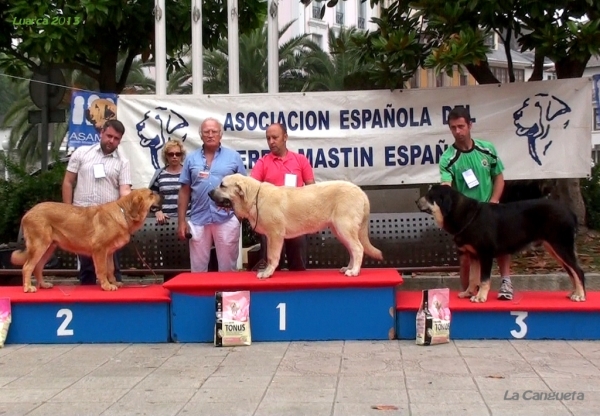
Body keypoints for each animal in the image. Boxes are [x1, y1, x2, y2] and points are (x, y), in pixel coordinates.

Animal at [209, 174, 382, 278]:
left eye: (222, 186)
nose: (209, 192)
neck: (254, 198)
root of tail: (360, 191)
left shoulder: (275, 234)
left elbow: (272, 256)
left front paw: (267, 272)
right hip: (340, 230)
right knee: (353, 250)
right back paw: (348, 268)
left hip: (344, 227)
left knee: (358, 248)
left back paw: (354, 271)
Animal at [414, 185, 584, 302]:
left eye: (429, 196)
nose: (416, 201)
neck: (467, 216)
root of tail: (570, 212)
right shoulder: (474, 255)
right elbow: (473, 278)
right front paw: (468, 293)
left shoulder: (485, 254)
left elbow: (483, 280)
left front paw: (480, 297)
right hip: (555, 249)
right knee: (571, 271)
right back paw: (574, 292)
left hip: (561, 246)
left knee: (578, 271)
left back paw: (580, 295)